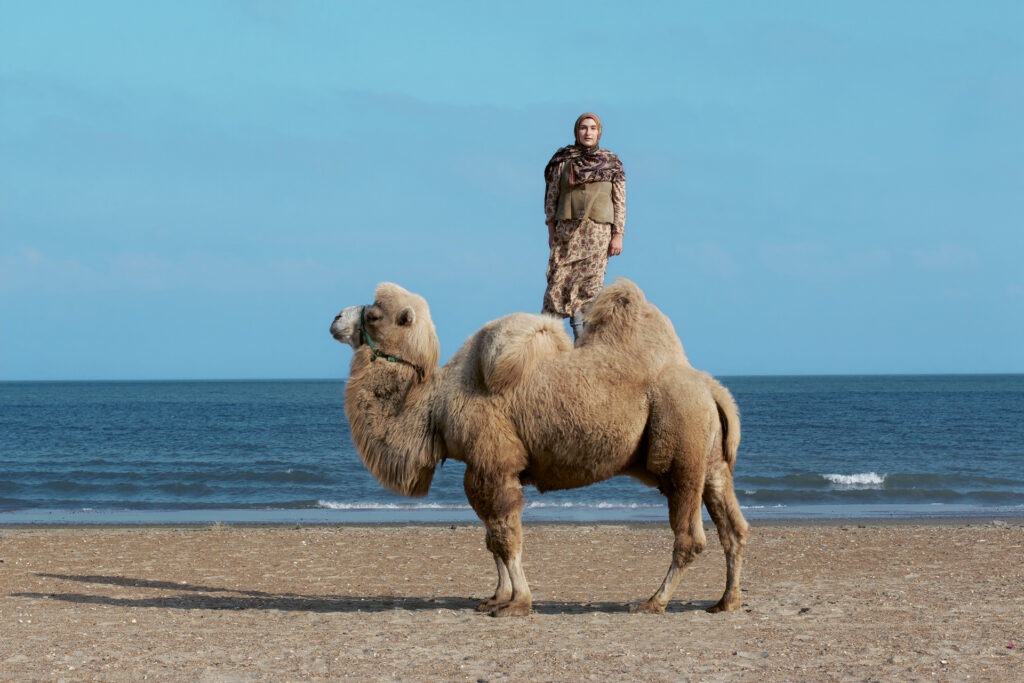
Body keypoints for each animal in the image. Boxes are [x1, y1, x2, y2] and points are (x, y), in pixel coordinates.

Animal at [331, 280, 749, 618]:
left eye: (374, 315)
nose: (335, 317)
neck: (436, 403)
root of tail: (711, 388)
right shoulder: (486, 468)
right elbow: (491, 538)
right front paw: (496, 597)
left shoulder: (492, 462)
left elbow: (505, 535)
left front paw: (517, 603)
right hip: (712, 460)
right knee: (734, 528)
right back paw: (726, 601)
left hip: (682, 444)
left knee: (690, 536)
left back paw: (653, 602)